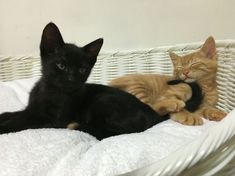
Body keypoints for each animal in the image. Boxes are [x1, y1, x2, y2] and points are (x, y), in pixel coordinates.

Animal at [0, 22, 170, 140]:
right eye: (61, 65)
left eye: (82, 70)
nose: (71, 79)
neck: (51, 91)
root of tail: (154, 114)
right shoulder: (33, 109)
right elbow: (16, 113)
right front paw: (4, 116)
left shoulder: (53, 120)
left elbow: (22, 121)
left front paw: (4, 127)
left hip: (104, 100)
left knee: (121, 132)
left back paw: (79, 126)